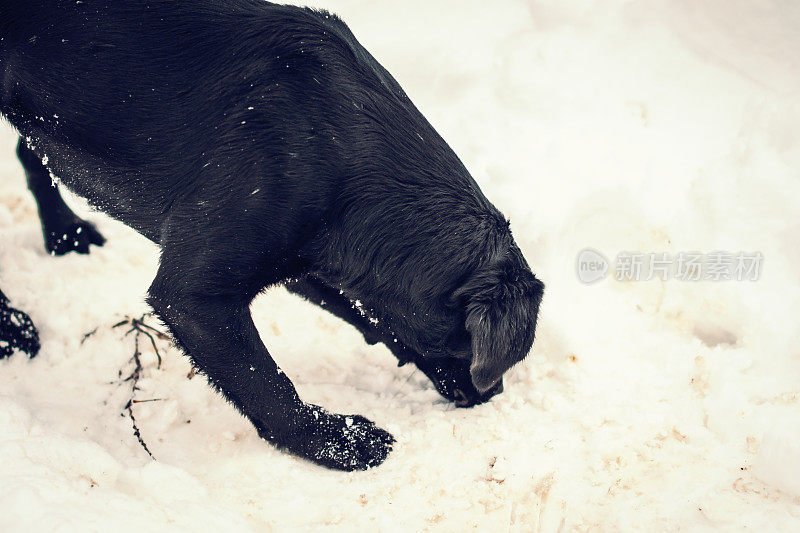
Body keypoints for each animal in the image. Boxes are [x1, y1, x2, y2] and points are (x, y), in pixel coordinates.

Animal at [1, 0, 544, 468]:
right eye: (468, 347)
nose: (491, 394)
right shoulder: (195, 297)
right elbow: (267, 383)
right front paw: (337, 441)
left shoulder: (309, 264)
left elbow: (369, 315)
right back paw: (13, 327)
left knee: (32, 152)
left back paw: (65, 233)